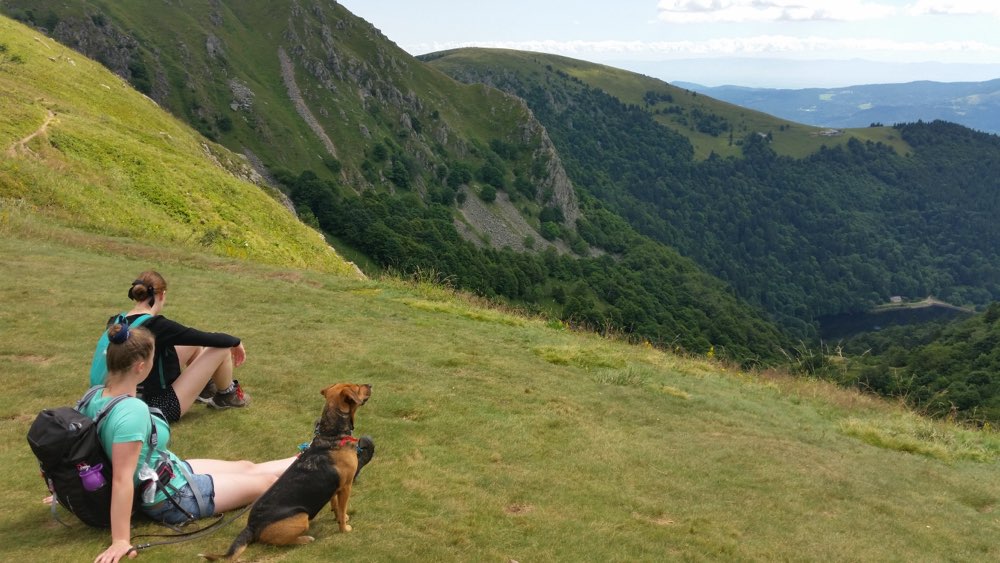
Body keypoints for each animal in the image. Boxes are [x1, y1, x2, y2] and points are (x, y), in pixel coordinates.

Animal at [201, 382, 374, 560]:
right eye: (357, 387)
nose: (369, 385)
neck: (332, 435)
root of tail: (251, 526)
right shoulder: (346, 487)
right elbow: (342, 508)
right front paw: (344, 528)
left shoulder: (334, 488)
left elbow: (336, 507)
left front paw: (340, 516)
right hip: (302, 517)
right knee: (278, 542)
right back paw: (305, 539)